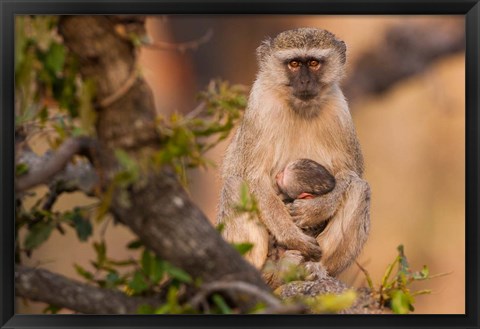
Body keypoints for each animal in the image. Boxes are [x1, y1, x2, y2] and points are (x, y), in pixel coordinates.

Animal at [218, 28, 372, 276]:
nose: (305, 81)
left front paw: (315, 209)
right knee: (234, 185)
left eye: (313, 63)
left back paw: (312, 268)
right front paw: (292, 236)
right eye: (293, 63)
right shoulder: (260, 106)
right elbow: (254, 177)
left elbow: (350, 174)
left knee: (360, 188)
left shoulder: (339, 111)